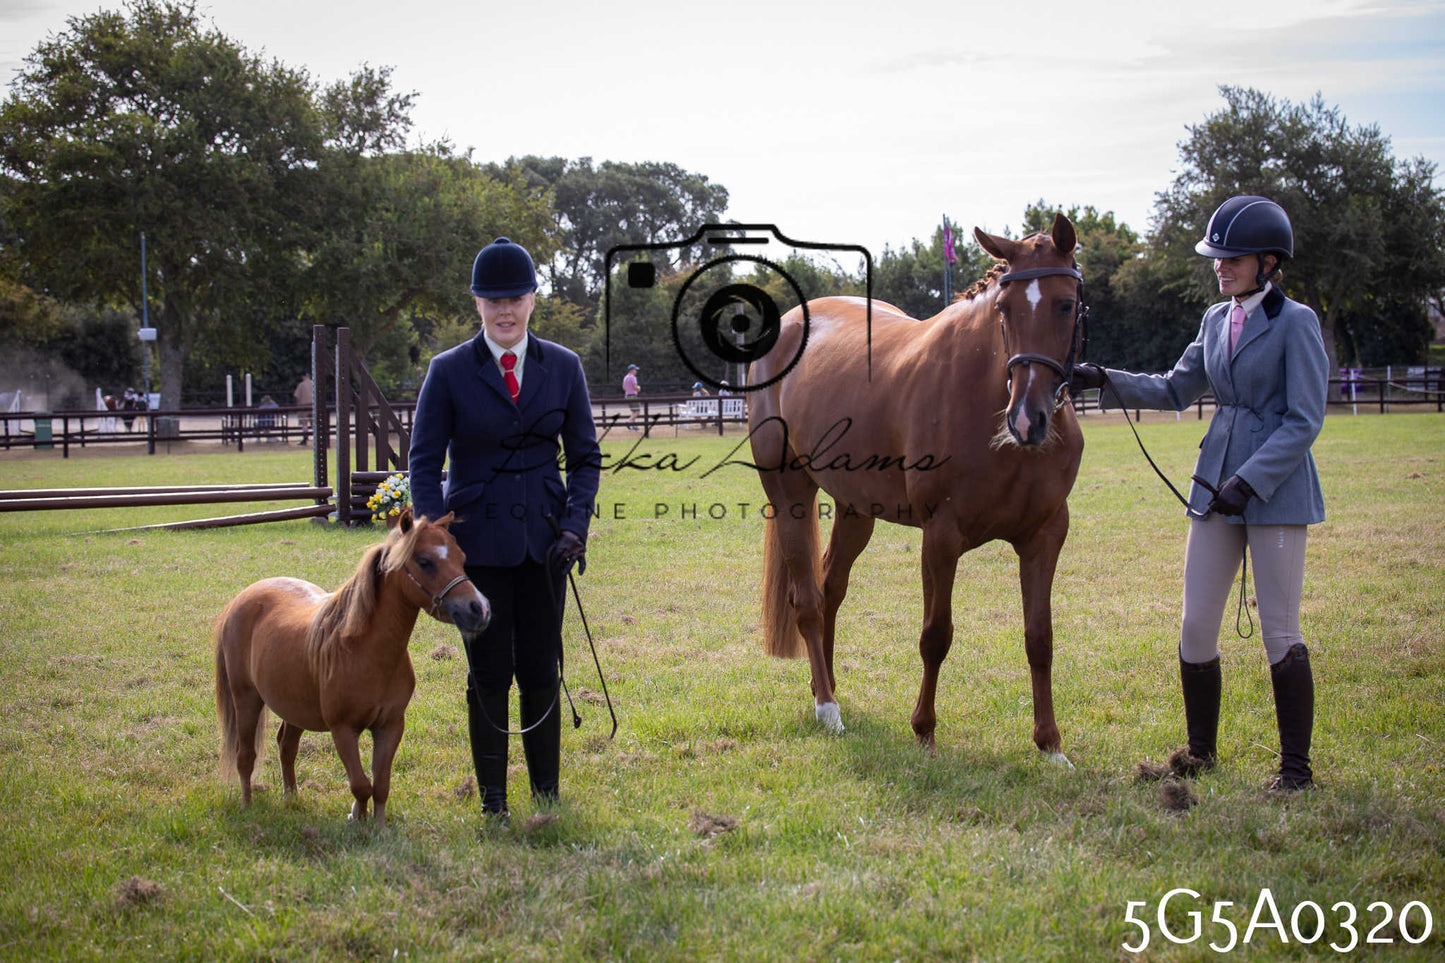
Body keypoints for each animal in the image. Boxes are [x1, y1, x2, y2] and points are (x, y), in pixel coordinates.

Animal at [214, 509, 490, 825]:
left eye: (461, 557)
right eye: (424, 561)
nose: (479, 609)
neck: (364, 651)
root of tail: (242, 598)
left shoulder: (390, 726)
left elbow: (380, 785)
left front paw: (378, 827)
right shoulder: (343, 730)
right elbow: (361, 785)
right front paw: (359, 822)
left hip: (294, 707)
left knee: (287, 747)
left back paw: (291, 798)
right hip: (246, 698)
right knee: (245, 756)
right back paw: (247, 807)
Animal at [749, 213, 1086, 764]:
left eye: (1065, 304)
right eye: (1004, 308)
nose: (1027, 418)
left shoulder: (1045, 535)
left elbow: (1040, 638)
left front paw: (1050, 745)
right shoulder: (941, 536)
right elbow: (936, 635)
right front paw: (924, 731)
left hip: (856, 509)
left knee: (831, 589)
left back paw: (829, 685)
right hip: (790, 495)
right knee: (808, 600)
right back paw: (827, 707)